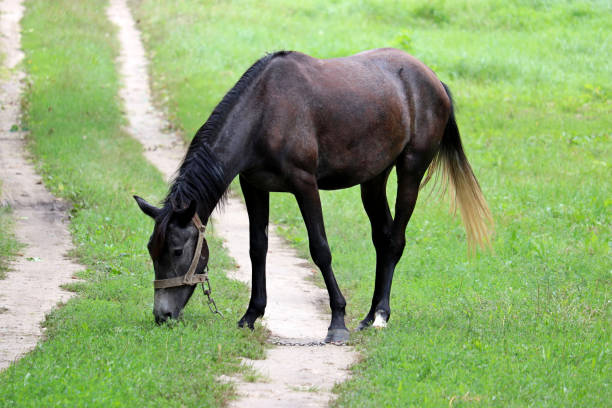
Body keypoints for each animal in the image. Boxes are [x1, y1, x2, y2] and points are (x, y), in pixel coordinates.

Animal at [135, 48, 492, 344]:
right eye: (152, 251)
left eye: (178, 251)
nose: (162, 315)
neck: (265, 110)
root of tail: (432, 79)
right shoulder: (254, 186)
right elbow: (257, 248)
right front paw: (251, 315)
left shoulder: (304, 185)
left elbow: (320, 249)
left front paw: (337, 322)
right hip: (373, 180)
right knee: (383, 239)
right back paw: (368, 316)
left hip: (410, 172)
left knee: (396, 240)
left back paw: (380, 316)